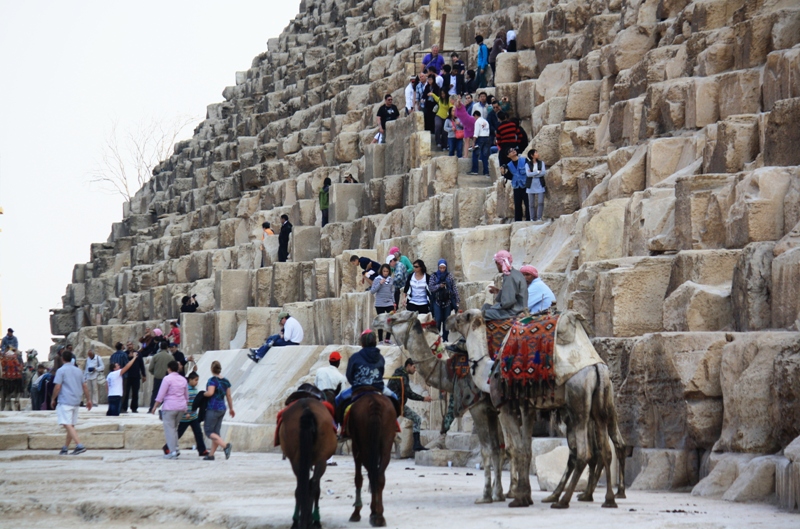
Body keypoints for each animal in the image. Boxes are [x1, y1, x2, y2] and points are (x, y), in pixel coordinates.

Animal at [278, 384, 338, 528]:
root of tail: (306, 409)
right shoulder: (320, 460)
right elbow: (314, 486)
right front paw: (313, 519)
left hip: (296, 460)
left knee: (302, 485)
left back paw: (299, 520)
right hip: (321, 460)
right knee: (313, 485)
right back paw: (310, 520)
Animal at [348, 388, 398, 524]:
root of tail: (374, 401)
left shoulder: (356, 447)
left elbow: (358, 479)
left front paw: (357, 512)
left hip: (364, 444)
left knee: (372, 473)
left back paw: (375, 513)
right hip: (386, 440)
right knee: (379, 476)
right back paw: (379, 515)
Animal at [450, 310, 624, 508]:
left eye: (461, 317)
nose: (448, 321)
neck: (487, 372)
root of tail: (596, 367)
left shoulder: (506, 407)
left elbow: (516, 449)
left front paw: (517, 498)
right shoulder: (527, 408)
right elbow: (526, 450)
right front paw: (525, 497)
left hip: (577, 399)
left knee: (583, 453)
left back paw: (563, 501)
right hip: (599, 403)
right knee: (605, 450)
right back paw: (606, 499)